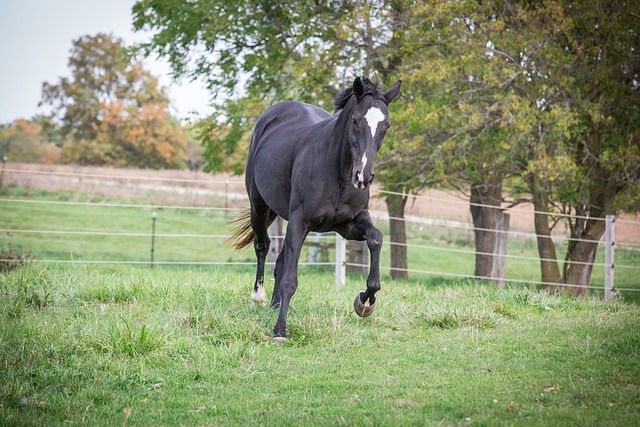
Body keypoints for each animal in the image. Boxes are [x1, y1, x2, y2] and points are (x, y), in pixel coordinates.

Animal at [229, 77, 400, 344]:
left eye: (386, 125)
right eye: (355, 120)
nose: (363, 177)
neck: (337, 172)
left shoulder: (349, 223)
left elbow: (376, 238)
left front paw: (364, 301)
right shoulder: (300, 221)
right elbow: (290, 279)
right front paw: (280, 331)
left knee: (280, 260)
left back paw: (275, 306)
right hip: (259, 205)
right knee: (262, 246)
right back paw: (259, 297)